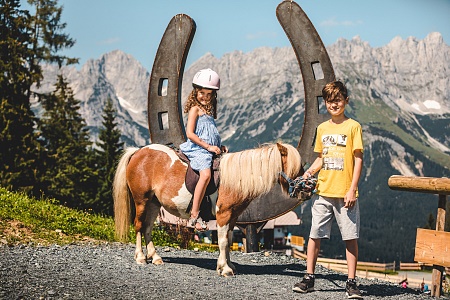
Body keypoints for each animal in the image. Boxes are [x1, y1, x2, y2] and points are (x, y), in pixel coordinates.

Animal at [113, 142, 302, 276]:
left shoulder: (233, 217)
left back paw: (155, 257)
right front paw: (225, 269)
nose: (303, 188)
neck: (234, 179)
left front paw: (228, 265)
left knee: (147, 228)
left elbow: (228, 240)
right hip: (142, 201)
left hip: (154, 204)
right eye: (296, 166)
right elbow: (223, 241)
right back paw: (140, 257)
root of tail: (138, 152)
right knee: (138, 226)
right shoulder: (223, 214)